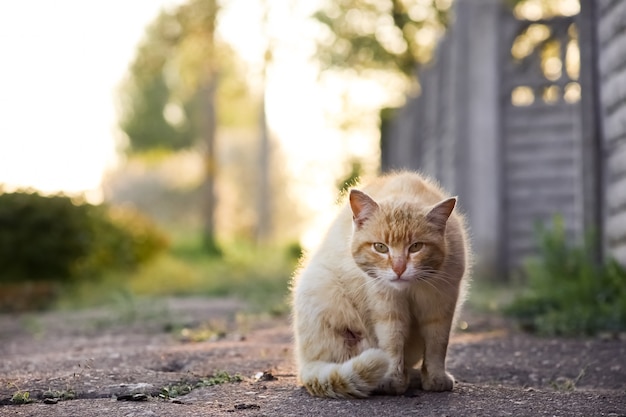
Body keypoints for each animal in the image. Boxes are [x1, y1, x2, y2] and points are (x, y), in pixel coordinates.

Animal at [292, 170, 468, 396]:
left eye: (416, 247)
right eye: (380, 247)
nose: (399, 268)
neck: (409, 289)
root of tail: (305, 364)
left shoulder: (441, 305)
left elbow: (437, 344)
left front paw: (435, 378)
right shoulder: (386, 306)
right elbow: (392, 342)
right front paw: (393, 379)